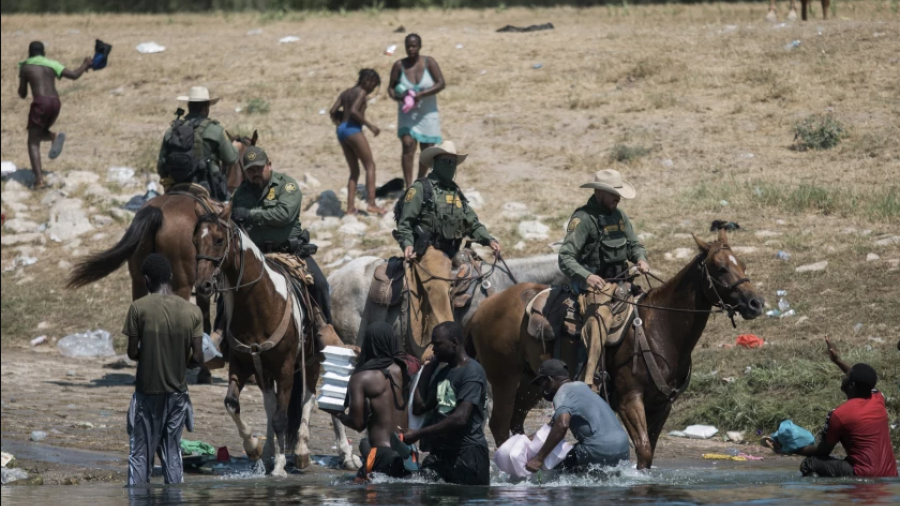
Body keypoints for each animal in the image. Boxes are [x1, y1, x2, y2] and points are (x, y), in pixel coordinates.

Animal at [468, 229, 764, 470]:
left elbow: (648, 454)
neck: (660, 327)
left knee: (515, 422)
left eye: (742, 264)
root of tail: (483, 308)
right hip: (504, 378)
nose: (756, 303)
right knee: (499, 424)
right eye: (720, 268)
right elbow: (643, 449)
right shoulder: (628, 400)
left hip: (531, 383)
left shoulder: (662, 405)